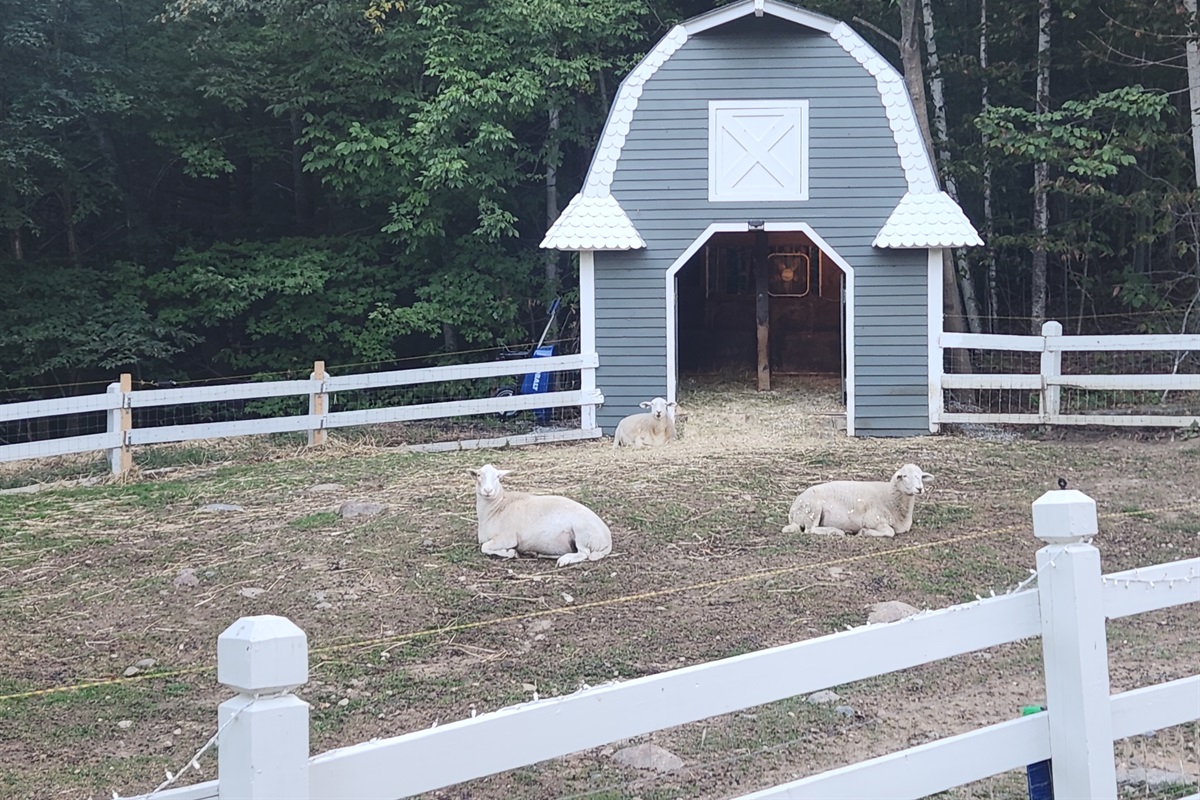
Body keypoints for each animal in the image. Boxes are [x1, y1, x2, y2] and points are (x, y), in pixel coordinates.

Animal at [469, 464, 613, 567]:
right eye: (478, 475)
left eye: (498, 477)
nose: (488, 490)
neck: (498, 507)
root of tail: (607, 538)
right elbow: (485, 546)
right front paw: (512, 552)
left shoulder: (508, 538)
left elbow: (484, 547)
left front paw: (511, 552)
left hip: (582, 533)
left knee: (584, 553)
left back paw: (564, 560)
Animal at [782, 463, 934, 538]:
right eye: (905, 476)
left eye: (921, 476)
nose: (920, 488)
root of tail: (792, 511)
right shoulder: (873, 520)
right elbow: (890, 532)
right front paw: (864, 532)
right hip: (813, 509)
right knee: (810, 530)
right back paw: (836, 532)